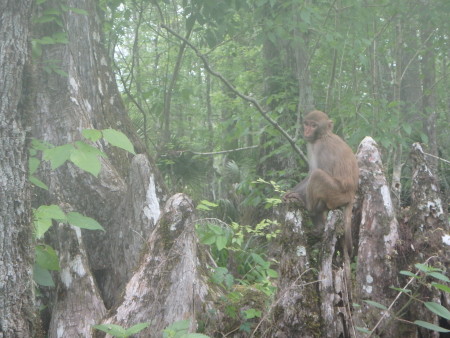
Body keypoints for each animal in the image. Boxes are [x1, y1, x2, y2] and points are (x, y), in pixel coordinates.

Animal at [284, 109, 358, 258]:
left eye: (314, 125)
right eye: (307, 124)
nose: (307, 131)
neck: (323, 136)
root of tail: (352, 195)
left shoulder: (320, 148)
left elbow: (318, 172)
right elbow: (310, 172)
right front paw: (289, 193)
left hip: (337, 193)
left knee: (318, 175)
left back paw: (309, 208)